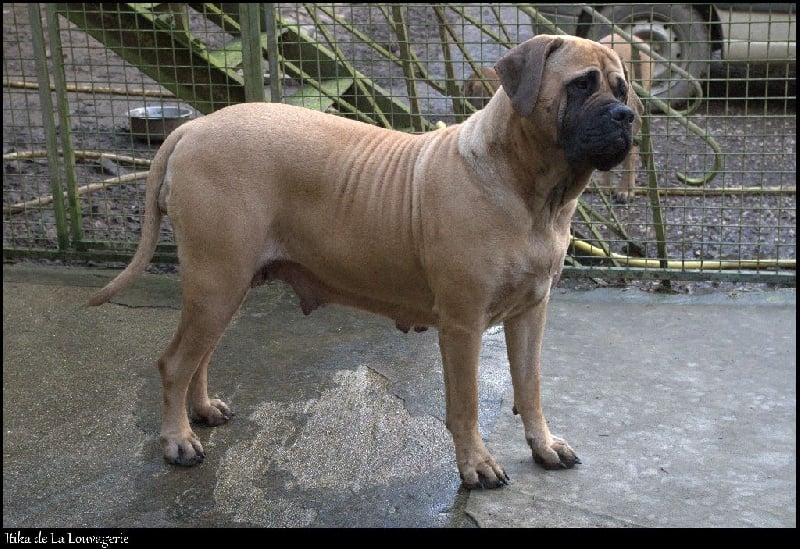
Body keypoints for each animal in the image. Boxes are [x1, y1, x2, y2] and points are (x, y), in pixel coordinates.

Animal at [88, 34, 642, 489]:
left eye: (621, 87)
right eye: (581, 85)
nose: (626, 116)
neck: (532, 192)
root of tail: (194, 128)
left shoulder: (531, 312)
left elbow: (530, 386)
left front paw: (543, 445)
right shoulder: (462, 325)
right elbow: (465, 406)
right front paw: (476, 465)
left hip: (224, 286)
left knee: (197, 357)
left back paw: (202, 411)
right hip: (216, 281)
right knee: (175, 362)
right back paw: (177, 440)